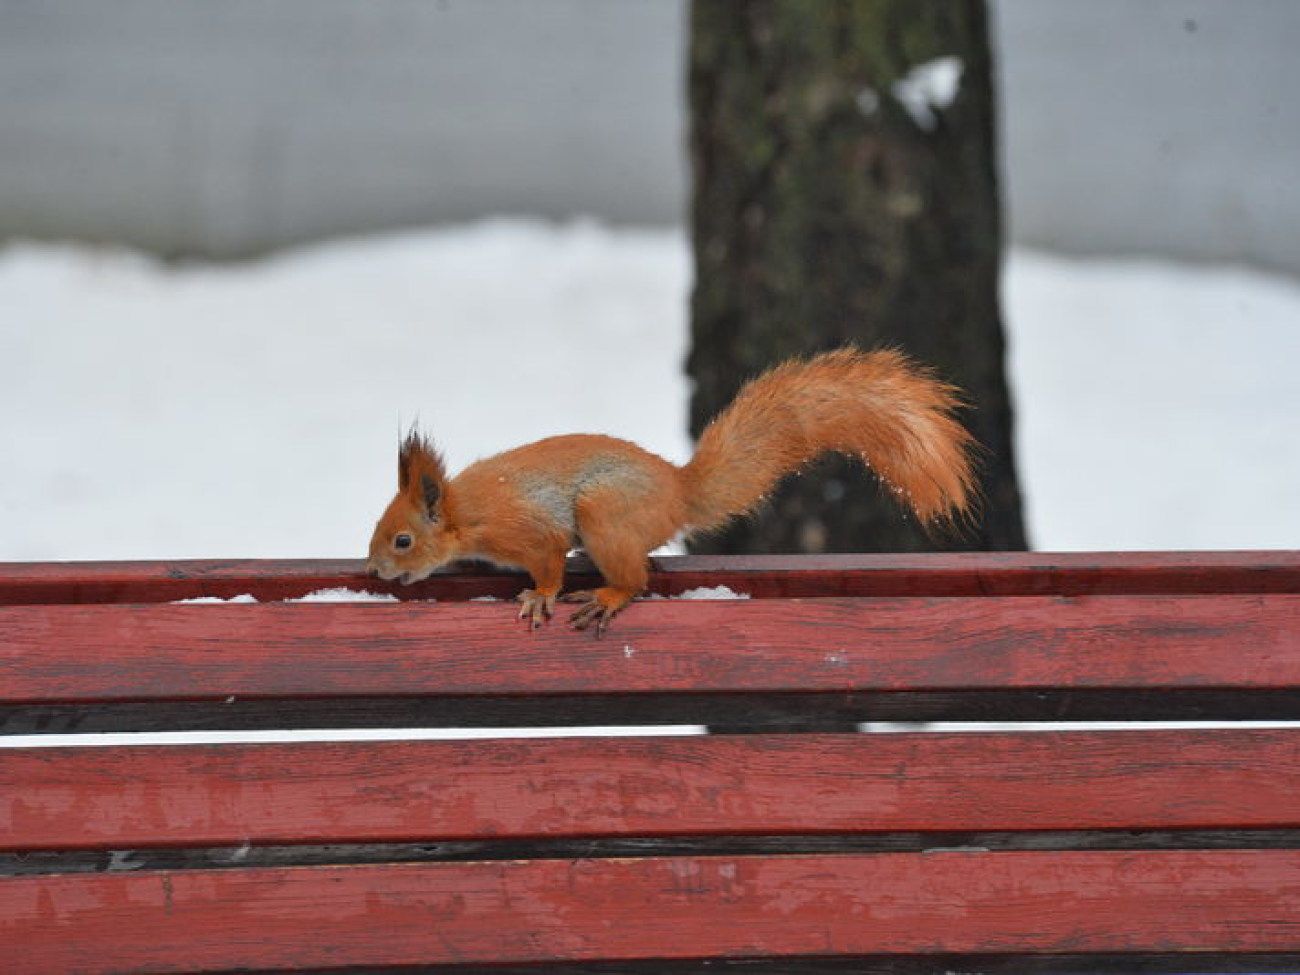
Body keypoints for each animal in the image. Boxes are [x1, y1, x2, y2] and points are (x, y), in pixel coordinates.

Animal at [366, 348, 977, 634]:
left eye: (402, 541)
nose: (374, 570)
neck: (464, 514)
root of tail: (679, 490)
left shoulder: (522, 529)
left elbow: (547, 559)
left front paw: (540, 596)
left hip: (603, 511)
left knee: (637, 578)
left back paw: (610, 595)